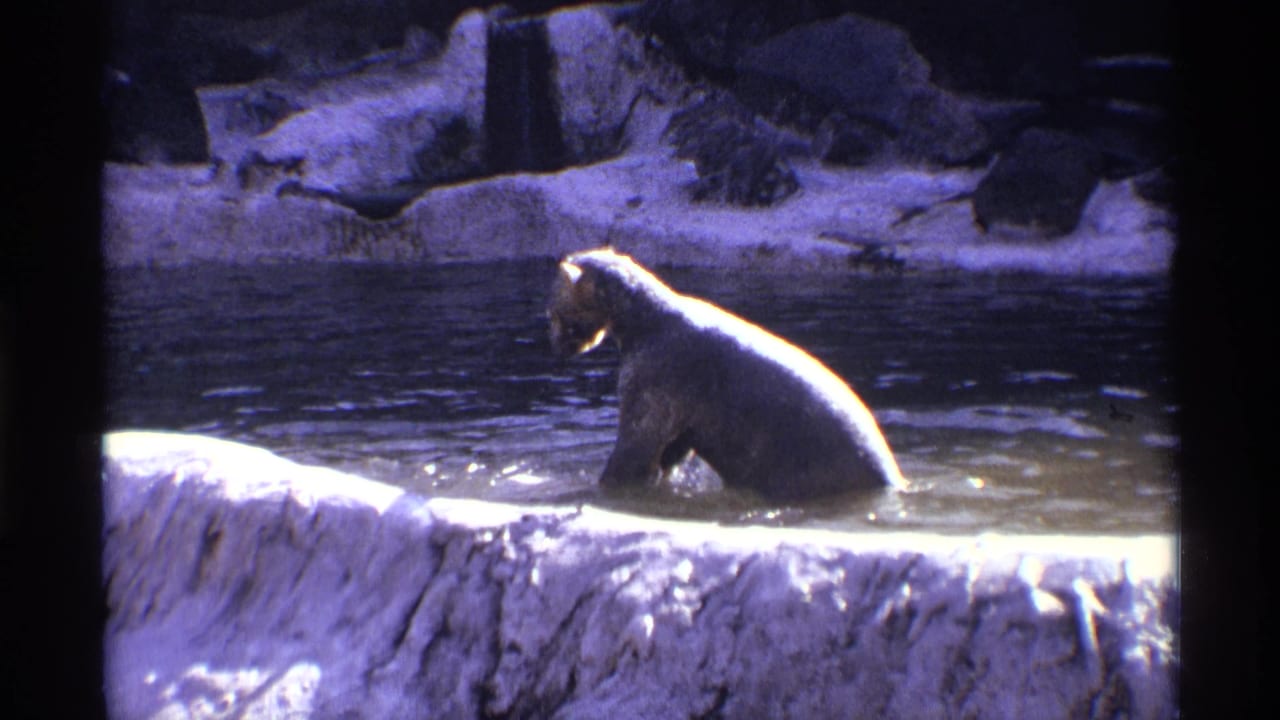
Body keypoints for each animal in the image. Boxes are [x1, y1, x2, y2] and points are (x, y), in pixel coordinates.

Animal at [547, 246, 906, 500]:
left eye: (552, 311)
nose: (556, 344)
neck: (645, 321)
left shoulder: (659, 371)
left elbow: (638, 443)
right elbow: (672, 449)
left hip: (808, 462)